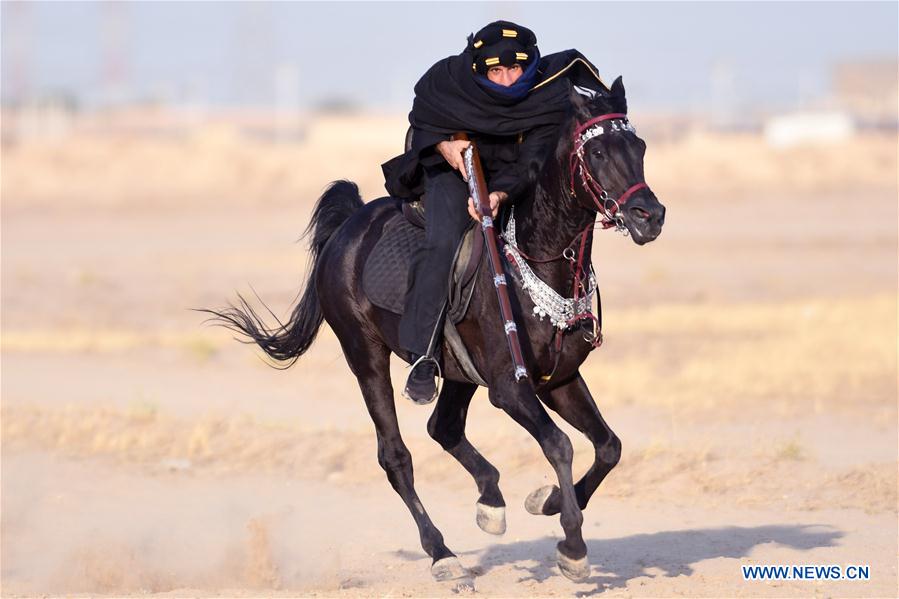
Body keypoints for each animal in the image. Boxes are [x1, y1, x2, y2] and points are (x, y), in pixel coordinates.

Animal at [206, 77, 665, 589]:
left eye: (640, 147)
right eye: (599, 151)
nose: (650, 216)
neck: (537, 261)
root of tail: (348, 226)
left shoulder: (560, 380)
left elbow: (608, 446)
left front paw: (546, 502)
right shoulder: (509, 389)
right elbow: (560, 445)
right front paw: (572, 547)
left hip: (459, 371)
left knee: (442, 427)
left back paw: (491, 502)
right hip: (365, 355)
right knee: (395, 455)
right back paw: (443, 554)